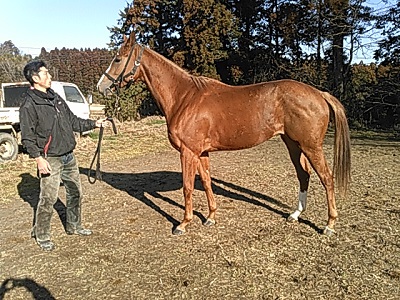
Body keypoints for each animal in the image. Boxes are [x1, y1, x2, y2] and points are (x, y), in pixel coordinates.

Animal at [97, 34, 350, 236]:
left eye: (117, 59)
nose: (101, 87)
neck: (184, 97)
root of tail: (319, 93)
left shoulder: (188, 152)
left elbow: (188, 187)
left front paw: (183, 224)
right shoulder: (201, 153)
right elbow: (207, 182)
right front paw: (210, 217)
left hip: (310, 146)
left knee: (327, 178)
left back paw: (329, 225)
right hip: (293, 144)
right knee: (304, 175)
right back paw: (295, 215)